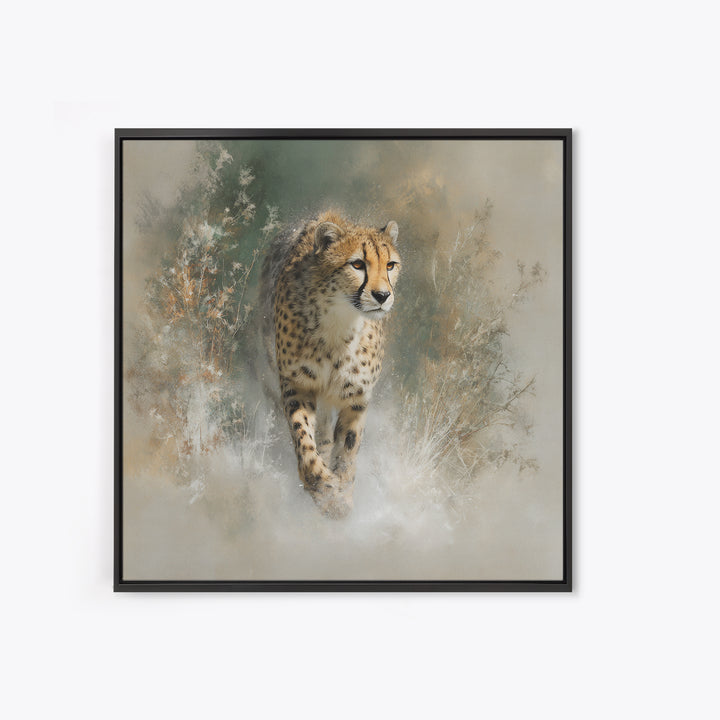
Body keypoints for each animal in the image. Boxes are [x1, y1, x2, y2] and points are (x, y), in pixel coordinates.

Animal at [261, 212, 401, 518]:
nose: (382, 296)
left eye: (390, 265)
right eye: (357, 264)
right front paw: (322, 485)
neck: (340, 322)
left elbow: (348, 448)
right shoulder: (297, 384)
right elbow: (303, 437)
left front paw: (342, 495)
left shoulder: (357, 397)